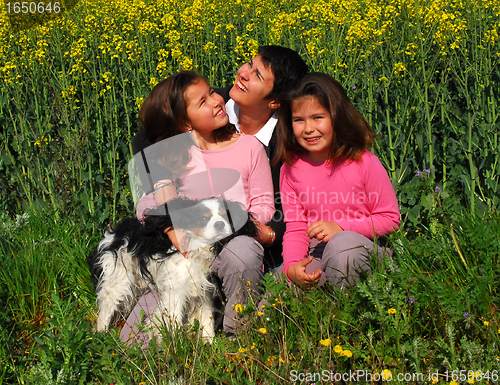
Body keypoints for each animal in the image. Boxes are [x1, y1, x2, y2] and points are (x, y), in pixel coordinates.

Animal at [88, 196, 258, 340]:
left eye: (226, 216)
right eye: (203, 219)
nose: (220, 224)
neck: (199, 247)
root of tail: (112, 234)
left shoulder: (204, 290)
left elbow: (206, 318)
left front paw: (209, 343)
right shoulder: (176, 291)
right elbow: (174, 321)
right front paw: (177, 348)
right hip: (118, 280)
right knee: (106, 307)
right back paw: (102, 334)